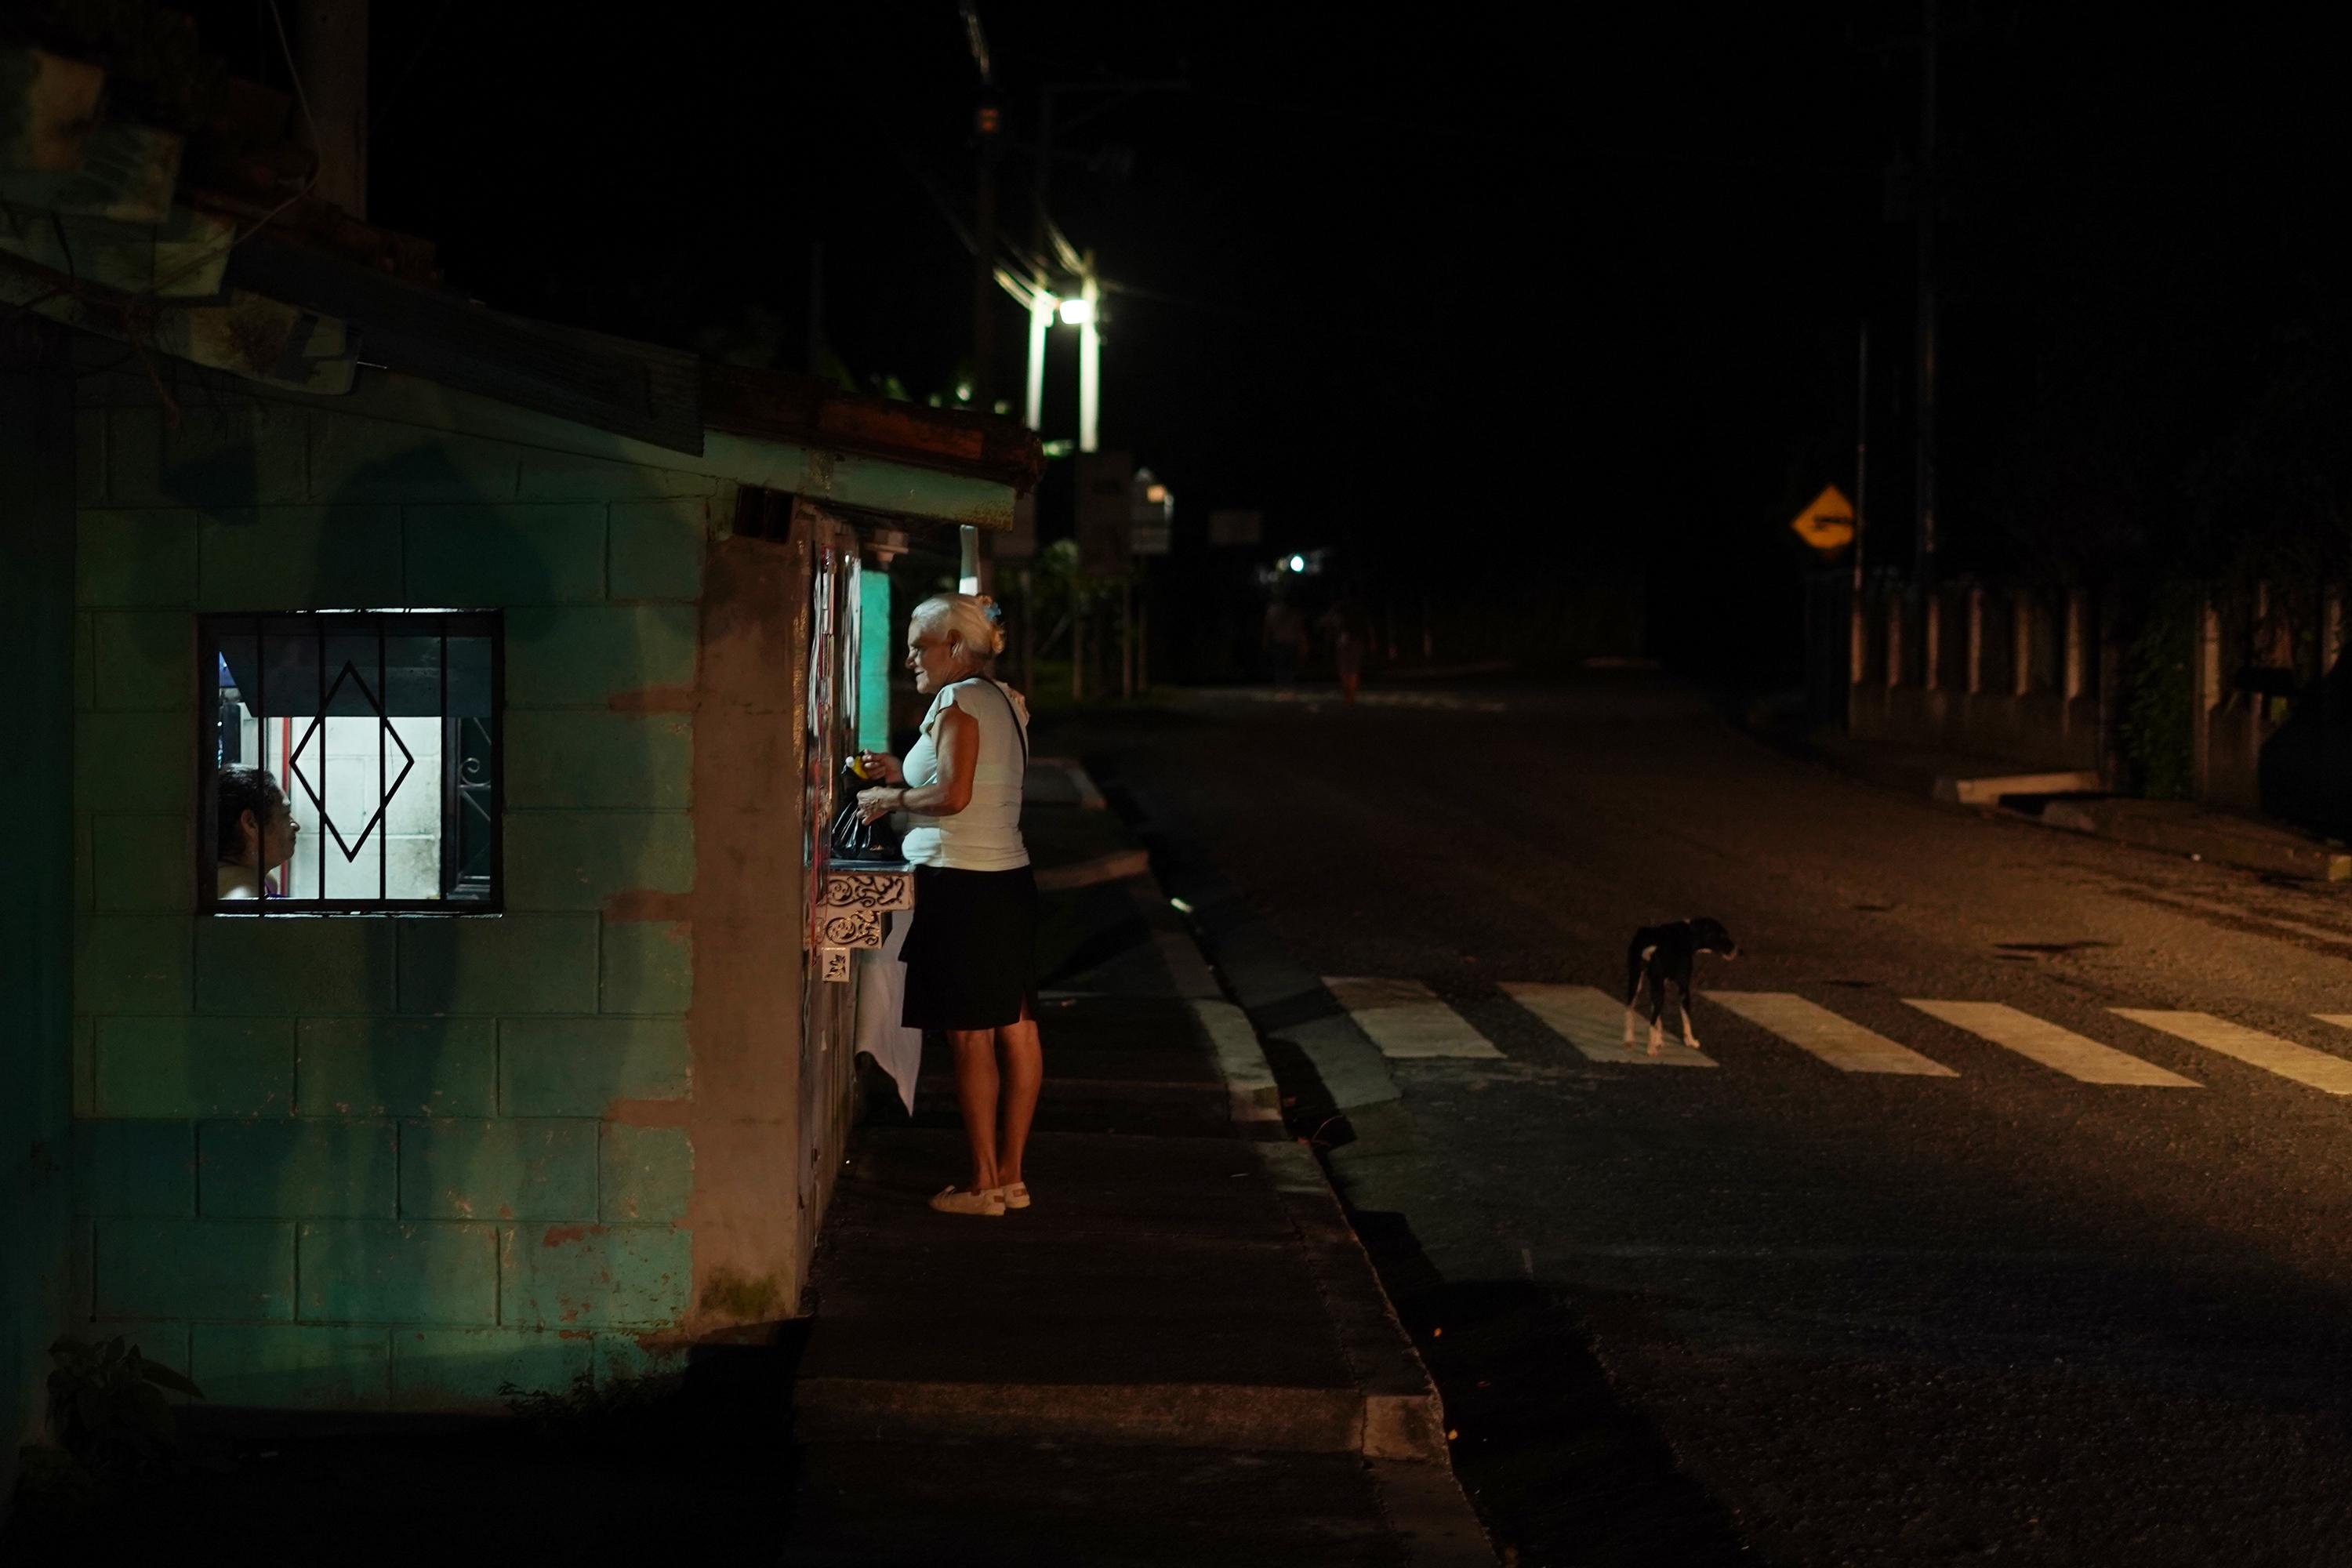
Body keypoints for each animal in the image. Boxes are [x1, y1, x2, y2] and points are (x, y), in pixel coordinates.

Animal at [1628, 921, 1740, 1053]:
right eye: (1723, 936)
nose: (1739, 950)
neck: (1689, 933)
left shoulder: (1660, 984)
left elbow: (1658, 1019)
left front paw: (1658, 1040)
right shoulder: (1684, 988)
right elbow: (1686, 1019)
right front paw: (1690, 1041)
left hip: (1636, 981)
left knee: (1629, 1010)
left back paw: (1629, 1041)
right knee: (1651, 1021)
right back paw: (1650, 1049)